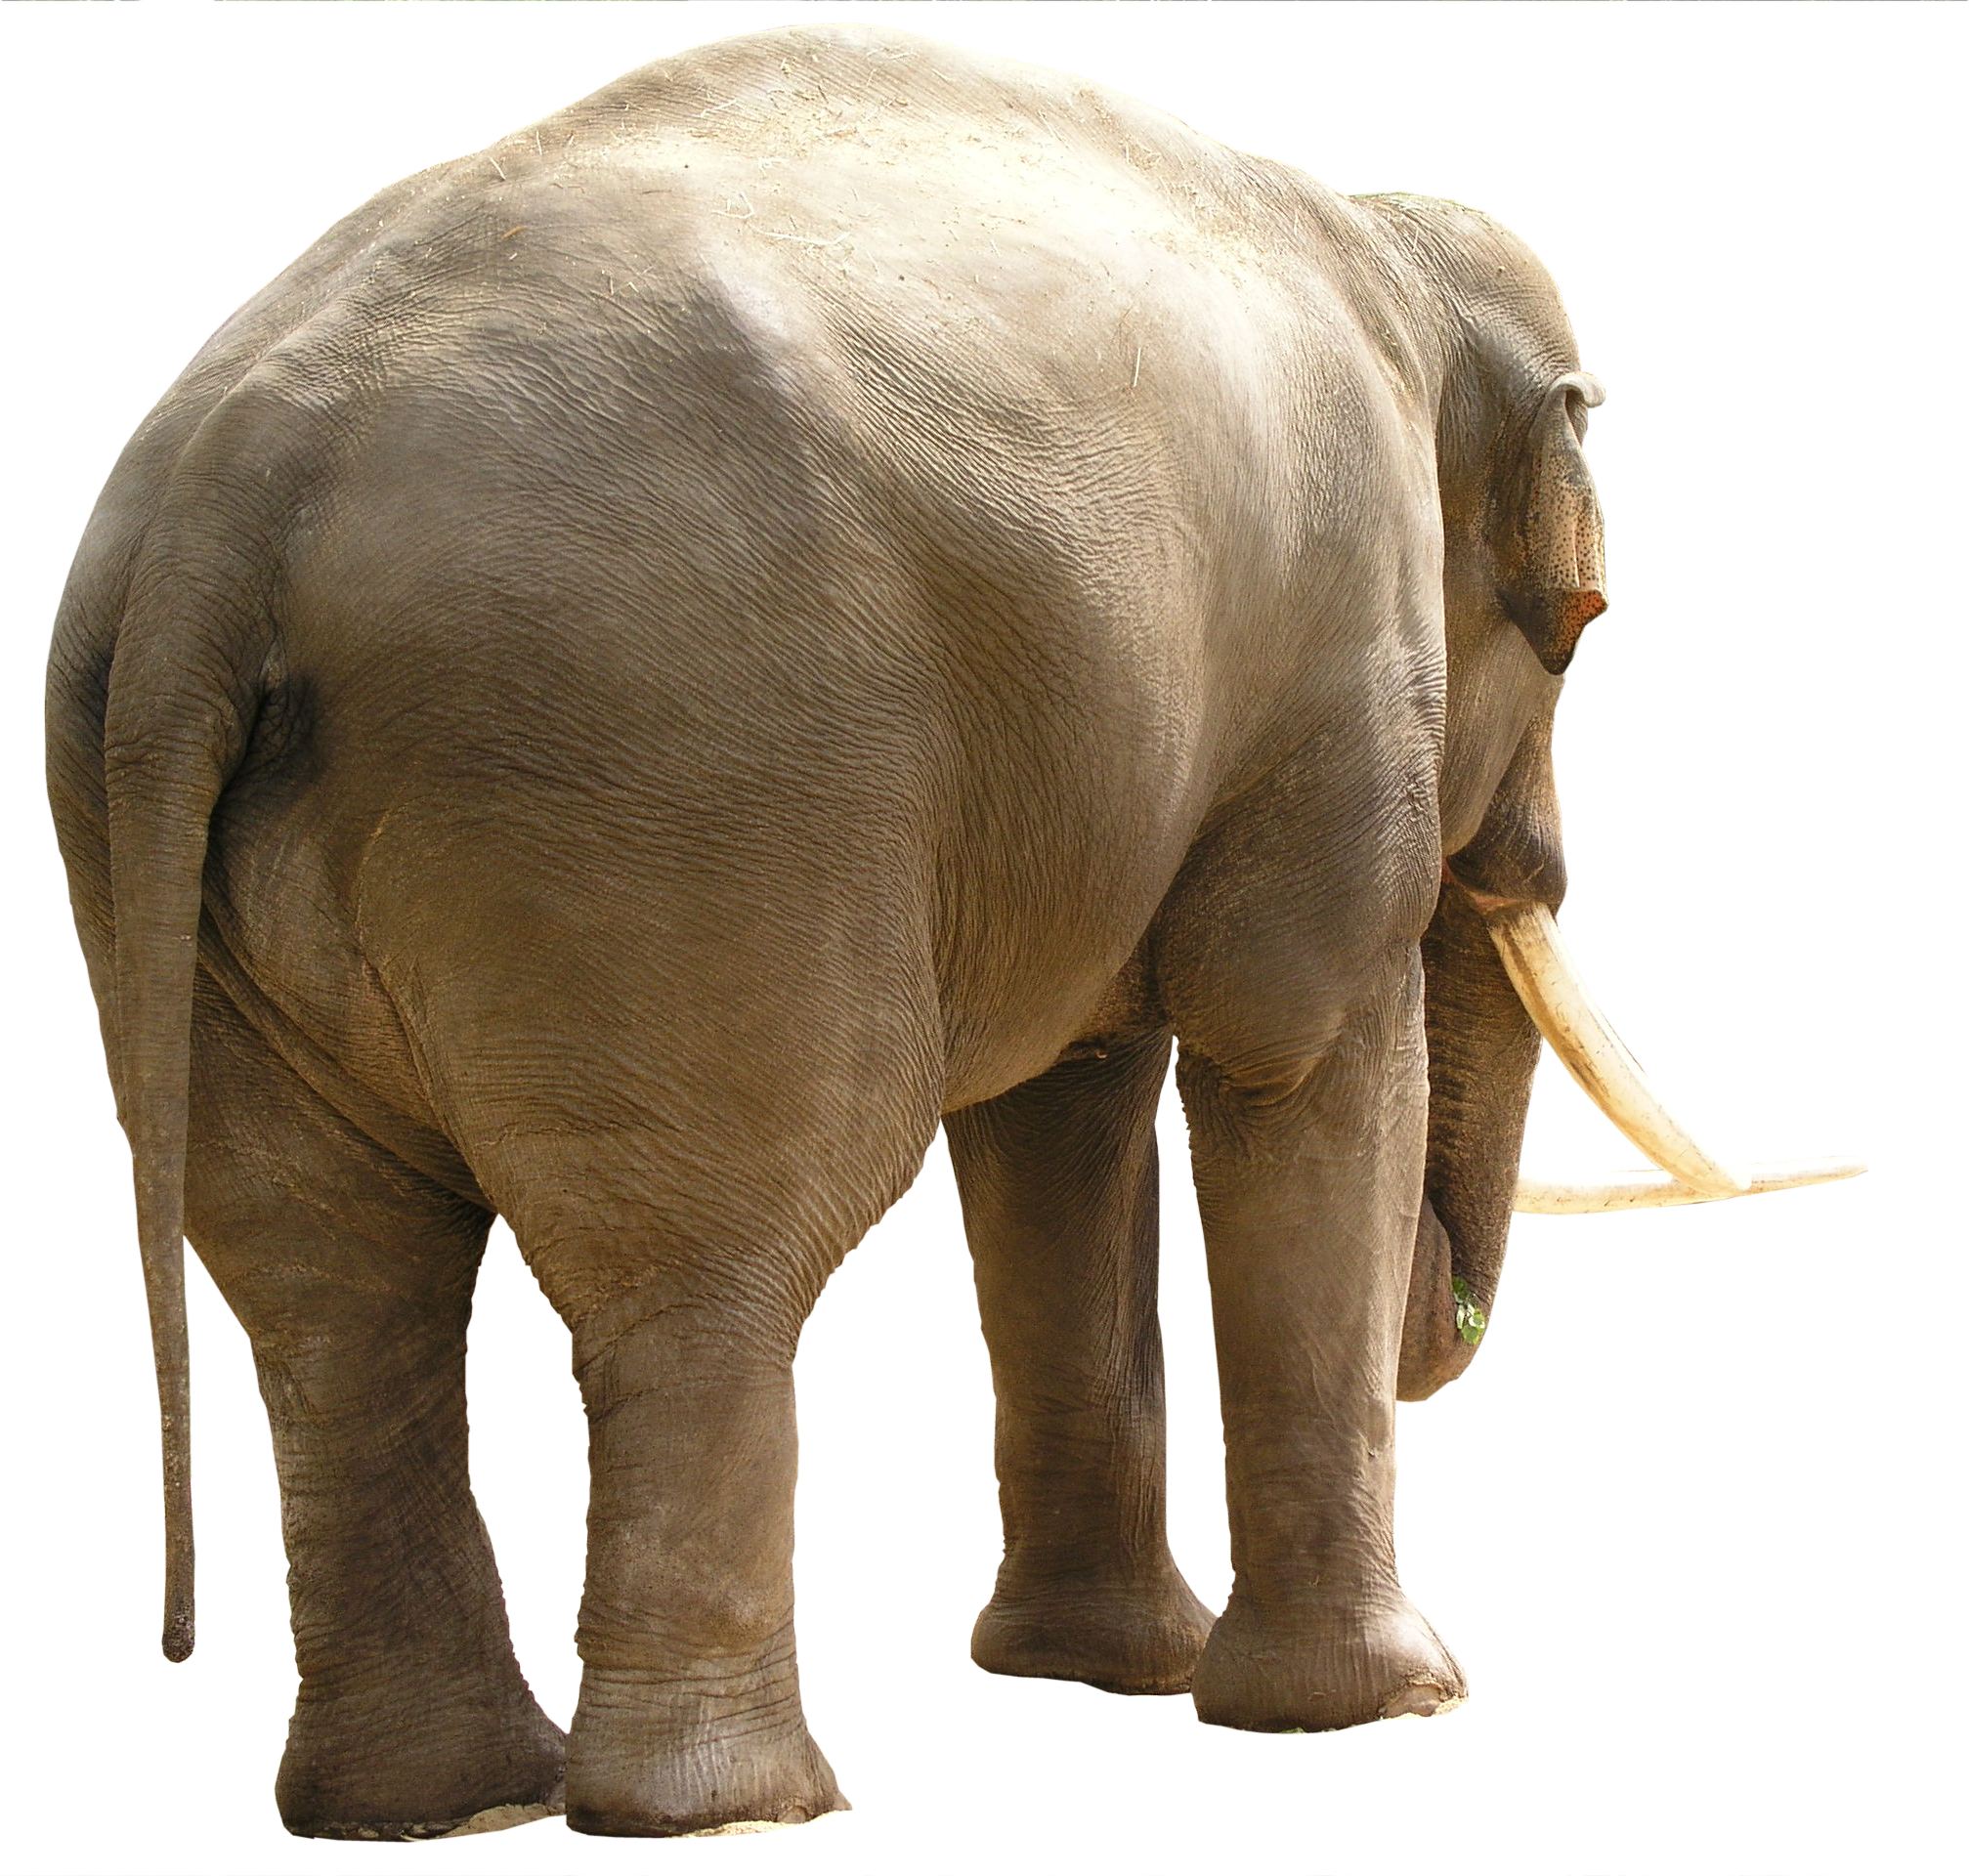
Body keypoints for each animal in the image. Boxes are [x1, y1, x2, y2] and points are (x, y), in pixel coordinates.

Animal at [43, 20, 1865, 1845]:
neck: (1384, 261)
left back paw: (444, 1811)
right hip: (661, 797)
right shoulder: (1334, 677)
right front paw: (1385, 1709)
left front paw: (1102, 1677)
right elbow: (1296, 1048)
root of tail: (223, 507)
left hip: (164, 846)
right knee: (717, 1249)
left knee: (327, 1277)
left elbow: (1062, 1117)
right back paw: (737, 1811)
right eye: (1582, 622)